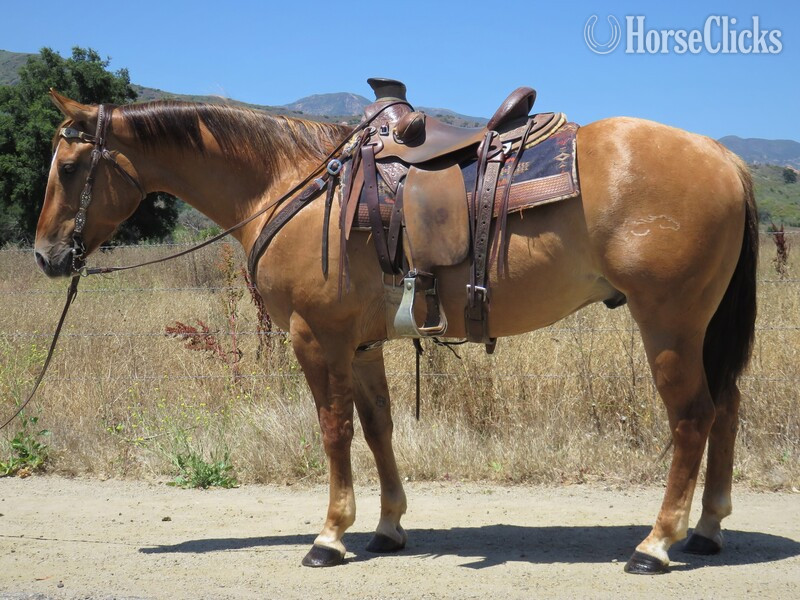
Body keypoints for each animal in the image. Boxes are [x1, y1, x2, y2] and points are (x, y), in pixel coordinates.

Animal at [35, 89, 757, 574]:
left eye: (69, 169)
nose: (46, 256)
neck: (293, 185)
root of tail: (725, 159)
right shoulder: (359, 344)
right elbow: (378, 428)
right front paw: (386, 529)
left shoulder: (315, 337)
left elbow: (335, 431)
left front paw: (329, 537)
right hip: (702, 326)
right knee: (726, 409)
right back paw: (707, 531)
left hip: (667, 321)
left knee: (693, 417)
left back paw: (656, 545)